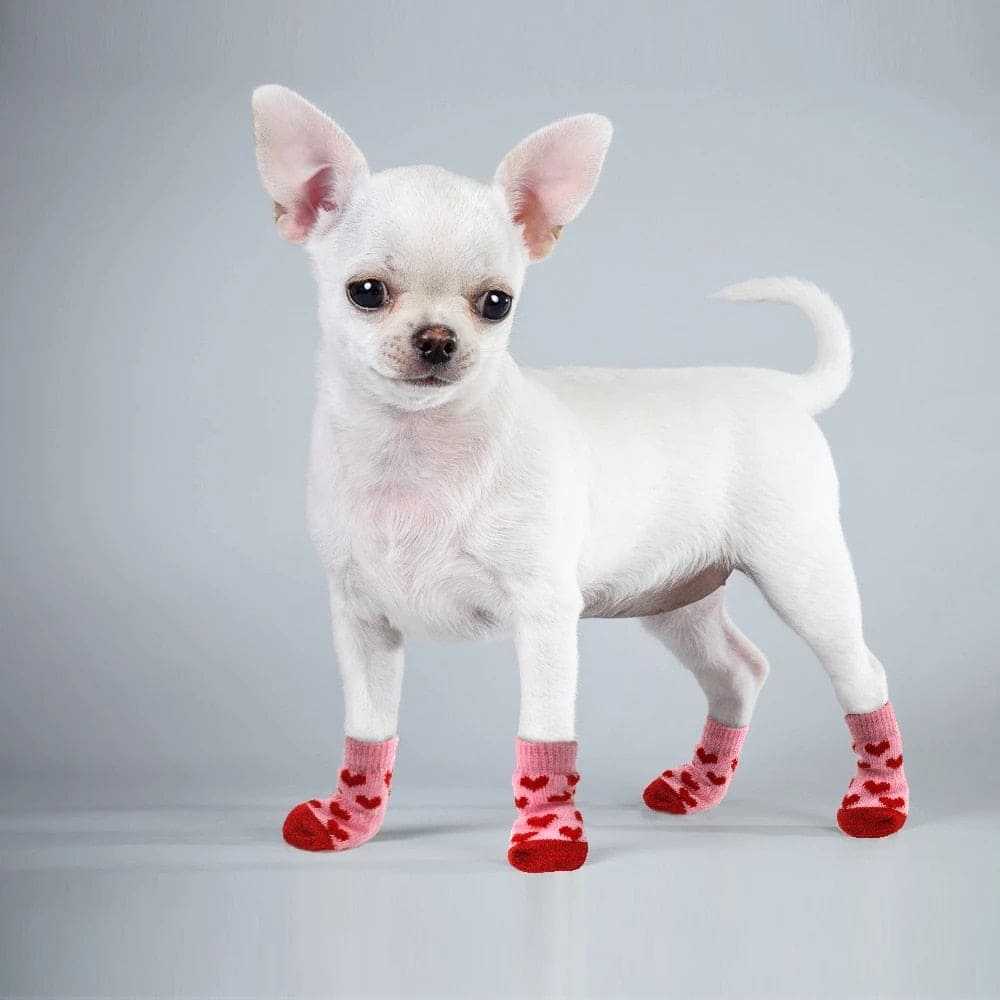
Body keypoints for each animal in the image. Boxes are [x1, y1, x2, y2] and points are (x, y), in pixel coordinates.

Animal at [252, 84, 916, 868]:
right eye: (365, 292)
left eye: (496, 303)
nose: (438, 340)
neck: (414, 450)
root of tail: (780, 390)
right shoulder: (362, 623)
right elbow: (369, 729)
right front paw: (351, 819)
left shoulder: (543, 618)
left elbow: (544, 735)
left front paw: (546, 836)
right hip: (679, 599)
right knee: (740, 671)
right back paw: (698, 786)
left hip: (803, 578)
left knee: (861, 674)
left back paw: (878, 800)